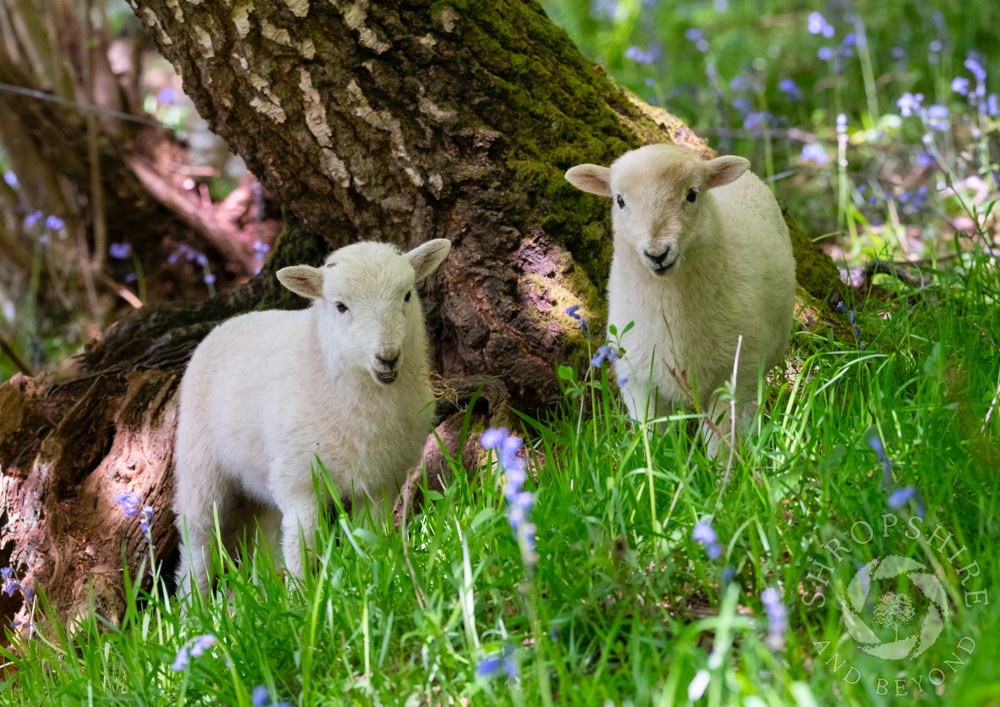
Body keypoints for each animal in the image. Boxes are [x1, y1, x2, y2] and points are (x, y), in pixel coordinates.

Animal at [174, 239, 452, 596]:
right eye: (340, 306)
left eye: (406, 295)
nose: (387, 358)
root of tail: (233, 320)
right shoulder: (298, 481)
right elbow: (302, 544)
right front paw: (303, 597)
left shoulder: (380, 481)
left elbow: (370, 536)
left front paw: (369, 583)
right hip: (199, 464)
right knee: (198, 539)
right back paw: (192, 603)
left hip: (260, 481)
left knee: (265, 537)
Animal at [572, 145, 796, 456]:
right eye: (620, 200)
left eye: (691, 194)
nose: (657, 253)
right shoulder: (638, 379)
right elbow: (651, 435)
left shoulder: (735, 373)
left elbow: (722, 439)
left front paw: (721, 470)